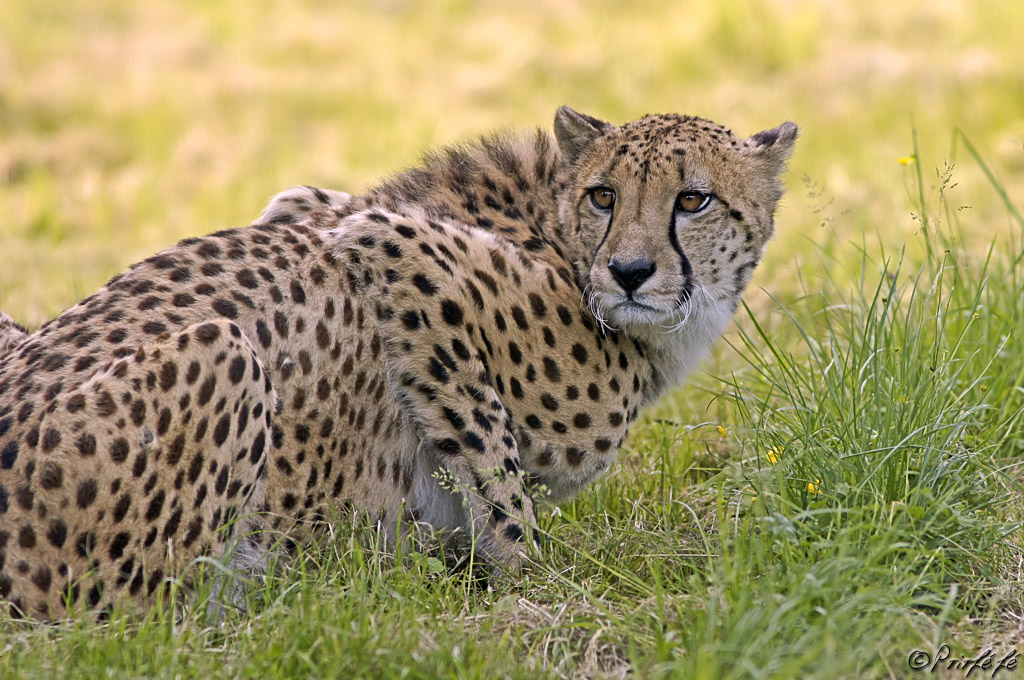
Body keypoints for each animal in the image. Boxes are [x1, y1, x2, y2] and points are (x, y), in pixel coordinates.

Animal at [0, 104, 798, 614]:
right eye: (604, 195)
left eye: (693, 200)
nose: (630, 272)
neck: (556, 232)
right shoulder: (397, 254)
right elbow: (498, 476)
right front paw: (534, 589)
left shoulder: (314, 203)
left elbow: (300, 200)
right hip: (223, 349)